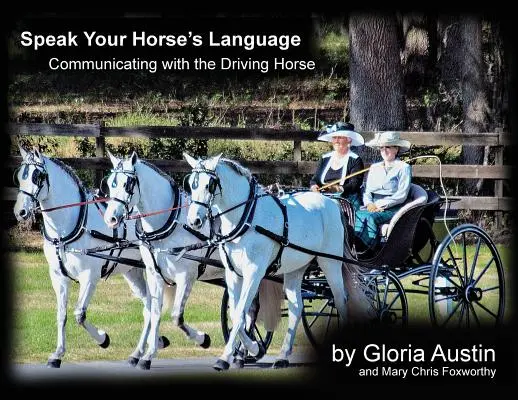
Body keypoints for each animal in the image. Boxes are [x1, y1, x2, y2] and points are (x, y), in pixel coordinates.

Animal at [13, 145, 170, 368]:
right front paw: (57, 354)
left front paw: (103, 338)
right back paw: (141, 350)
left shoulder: (89, 276)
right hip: (133, 271)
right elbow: (61, 314)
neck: (69, 226)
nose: (20, 211)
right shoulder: (57, 276)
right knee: (149, 306)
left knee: (152, 306)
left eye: (37, 177)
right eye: (19, 176)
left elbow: (79, 314)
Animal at [101, 152, 284, 370]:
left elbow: (176, 317)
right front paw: (147, 355)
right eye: (110, 184)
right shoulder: (155, 275)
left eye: (127, 184)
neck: (168, 221)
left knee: (249, 310)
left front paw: (203, 339)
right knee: (247, 311)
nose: (110, 218)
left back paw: (244, 352)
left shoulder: (186, 276)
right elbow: (154, 312)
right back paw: (243, 352)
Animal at [185, 152, 368, 368]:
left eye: (209, 185)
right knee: (296, 307)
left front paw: (233, 355)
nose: (194, 221)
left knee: (340, 300)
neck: (246, 218)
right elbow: (236, 313)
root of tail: (333, 203)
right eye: (191, 185)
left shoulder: (254, 273)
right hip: (296, 268)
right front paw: (250, 349)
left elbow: (242, 312)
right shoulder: (232, 273)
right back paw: (282, 356)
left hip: (330, 263)